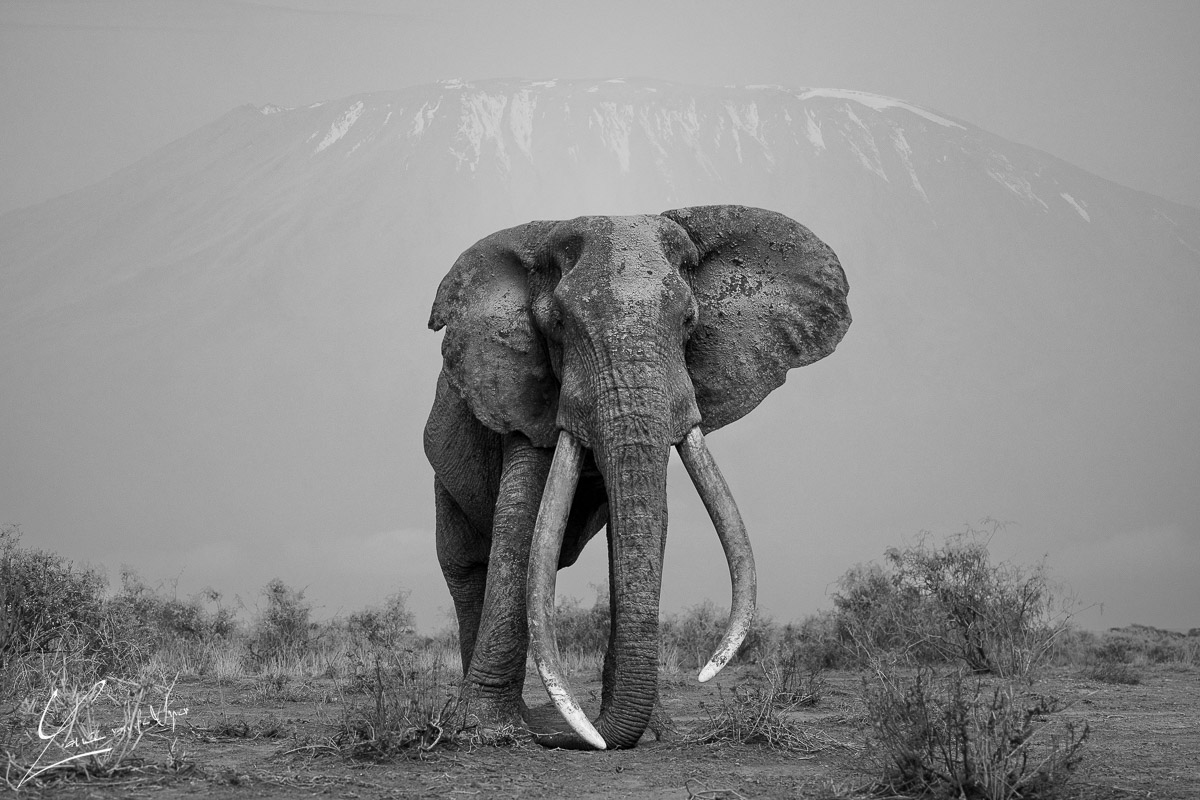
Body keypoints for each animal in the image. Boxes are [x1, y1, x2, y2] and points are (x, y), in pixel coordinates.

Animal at [424, 204, 850, 750]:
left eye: (689, 320)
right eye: (557, 324)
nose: (567, 735)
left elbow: (651, 515)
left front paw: (652, 736)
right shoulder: (517, 391)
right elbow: (520, 523)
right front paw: (487, 730)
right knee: (464, 565)